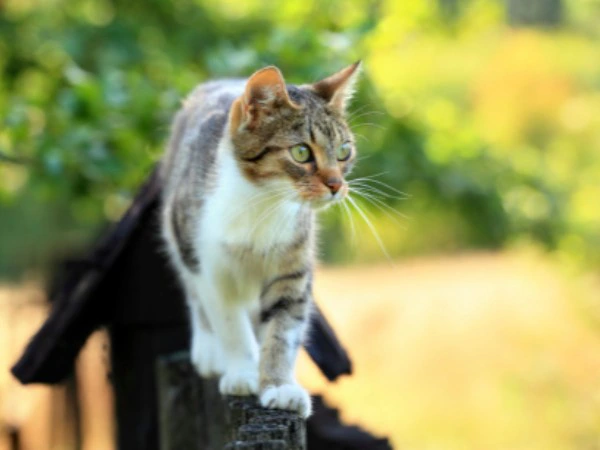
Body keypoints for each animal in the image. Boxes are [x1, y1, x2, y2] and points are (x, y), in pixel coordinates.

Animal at [159, 61, 360, 416]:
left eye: (343, 151)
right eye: (301, 152)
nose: (337, 185)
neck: (263, 204)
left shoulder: (293, 268)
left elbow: (284, 328)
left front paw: (279, 386)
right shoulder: (209, 266)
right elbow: (229, 322)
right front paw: (242, 371)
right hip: (179, 230)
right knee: (194, 292)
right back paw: (209, 349)